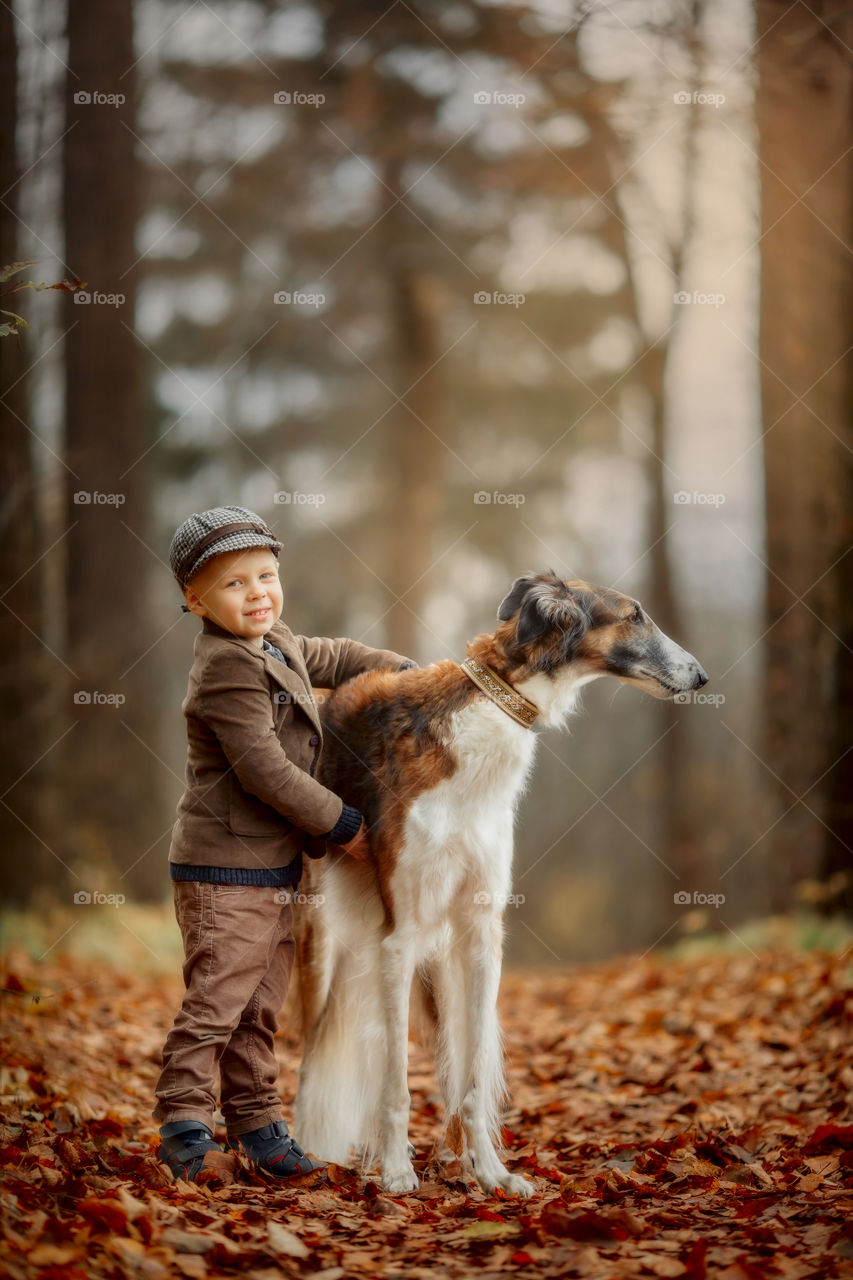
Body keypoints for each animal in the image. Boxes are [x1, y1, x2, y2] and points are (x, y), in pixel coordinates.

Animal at [295, 570, 706, 1198]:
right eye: (634, 615)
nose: (701, 676)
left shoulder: (479, 934)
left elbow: (470, 1080)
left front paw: (489, 1171)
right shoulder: (401, 936)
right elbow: (396, 1082)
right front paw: (396, 1171)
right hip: (326, 944)